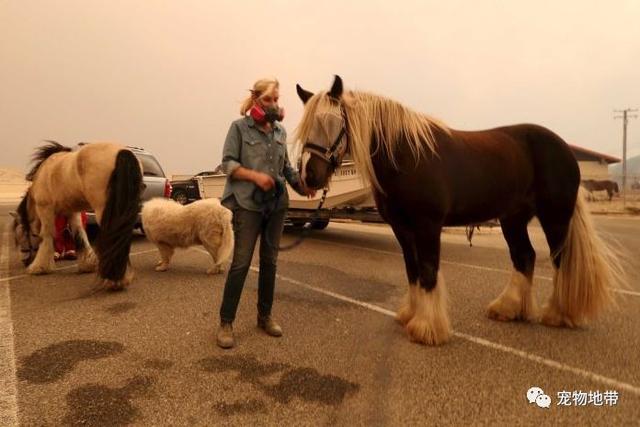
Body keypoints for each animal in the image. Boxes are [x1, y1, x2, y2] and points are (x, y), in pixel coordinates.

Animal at [296, 75, 624, 346]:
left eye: (330, 122)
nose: (309, 176)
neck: (407, 155)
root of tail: (565, 149)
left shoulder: (427, 226)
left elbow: (428, 270)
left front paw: (427, 328)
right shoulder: (402, 229)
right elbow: (412, 270)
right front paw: (410, 315)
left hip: (554, 217)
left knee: (560, 259)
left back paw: (557, 314)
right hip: (513, 219)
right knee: (525, 256)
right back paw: (508, 308)